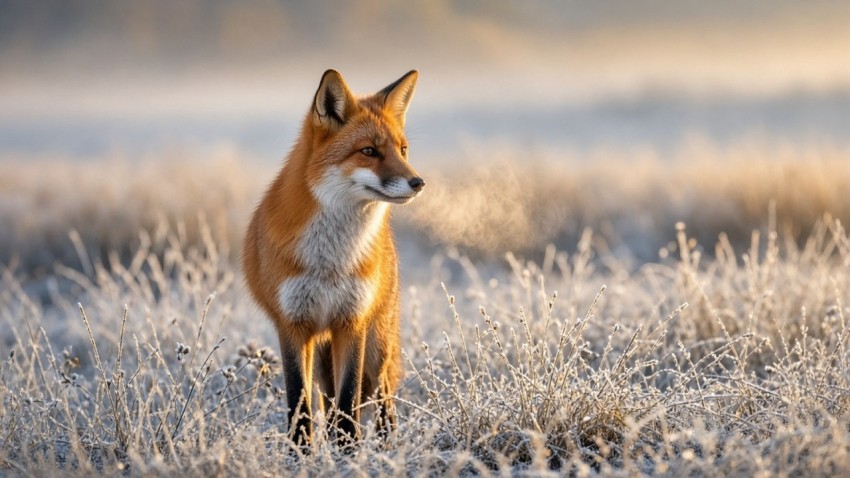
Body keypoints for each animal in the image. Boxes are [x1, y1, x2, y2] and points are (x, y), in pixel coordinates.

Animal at [241, 69, 424, 446]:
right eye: (369, 151)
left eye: (402, 150)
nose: (418, 182)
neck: (331, 262)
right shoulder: (292, 324)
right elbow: (300, 405)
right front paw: (301, 452)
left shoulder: (351, 322)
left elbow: (348, 403)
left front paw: (347, 451)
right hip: (321, 353)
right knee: (323, 400)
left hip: (378, 345)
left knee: (383, 400)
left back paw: (388, 446)